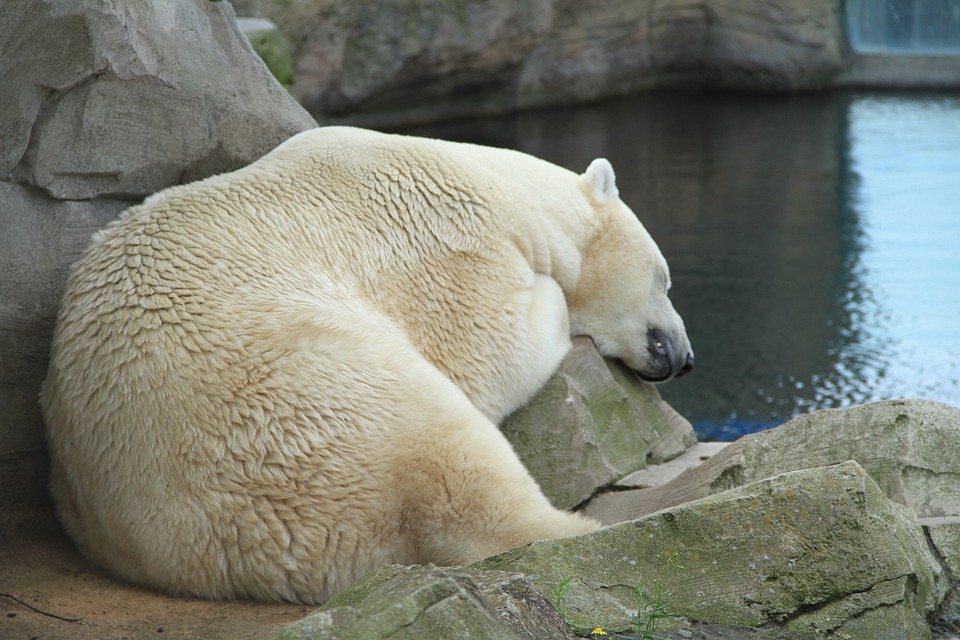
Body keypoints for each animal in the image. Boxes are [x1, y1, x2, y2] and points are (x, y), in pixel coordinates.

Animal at [41, 126, 693, 604]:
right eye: (665, 278)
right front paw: (552, 298)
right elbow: (493, 341)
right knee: (450, 455)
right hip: (320, 398)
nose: (686, 358)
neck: (505, 189)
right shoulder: (447, 240)